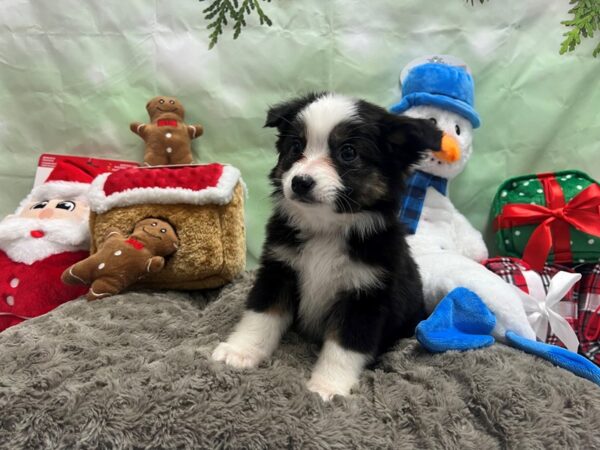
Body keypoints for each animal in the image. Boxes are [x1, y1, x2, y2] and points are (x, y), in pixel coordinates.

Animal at [211, 92, 440, 400]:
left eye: (348, 152)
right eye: (296, 146)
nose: (300, 182)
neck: (326, 230)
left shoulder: (366, 294)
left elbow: (344, 347)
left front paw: (327, 386)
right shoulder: (279, 269)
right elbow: (261, 315)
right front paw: (241, 351)